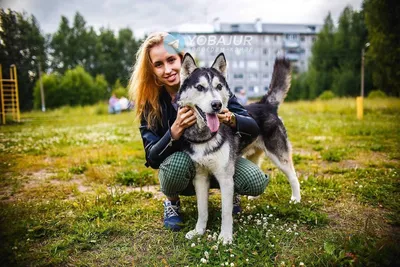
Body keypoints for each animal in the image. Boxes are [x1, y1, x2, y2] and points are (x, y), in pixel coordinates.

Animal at [177, 52, 300, 245]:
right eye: (200, 87)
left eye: (219, 86)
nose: (217, 105)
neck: (204, 135)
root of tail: (265, 103)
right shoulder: (200, 177)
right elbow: (202, 210)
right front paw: (198, 231)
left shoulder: (226, 178)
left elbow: (226, 213)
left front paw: (225, 237)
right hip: (253, 156)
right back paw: (254, 196)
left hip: (279, 156)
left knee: (293, 176)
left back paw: (296, 198)